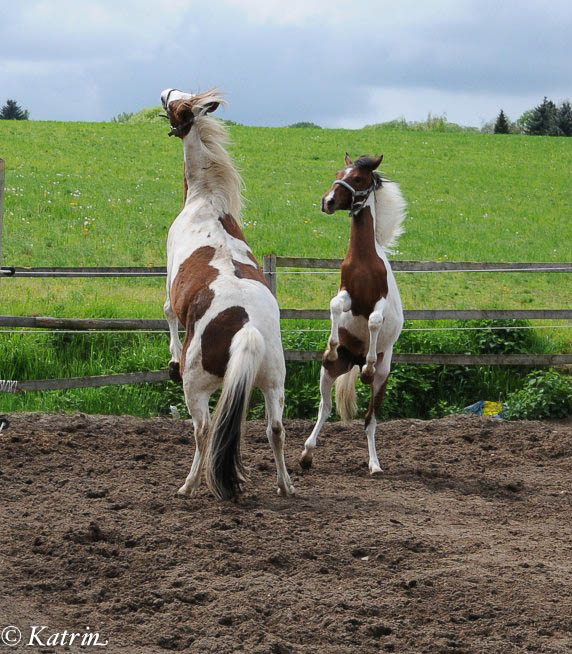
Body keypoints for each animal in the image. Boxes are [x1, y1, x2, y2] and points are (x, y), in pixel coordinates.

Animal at [161, 88, 294, 502]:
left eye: (178, 104)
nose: (165, 92)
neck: (207, 203)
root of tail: (246, 326)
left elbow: (168, 311)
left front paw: (172, 357)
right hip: (273, 384)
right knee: (276, 430)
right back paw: (285, 484)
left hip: (197, 387)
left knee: (203, 432)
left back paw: (188, 485)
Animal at [300, 156, 406, 480]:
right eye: (339, 173)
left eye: (358, 179)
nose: (328, 201)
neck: (364, 261)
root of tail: (353, 362)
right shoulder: (348, 295)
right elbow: (334, 306)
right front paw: (332, 345)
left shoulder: (377, 302)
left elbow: (374, 321)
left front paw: (369, 362)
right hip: (328, 373)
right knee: (324, 409)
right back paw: (306, 454)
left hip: (382, 380)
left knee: (370, 421)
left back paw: (374, 464)